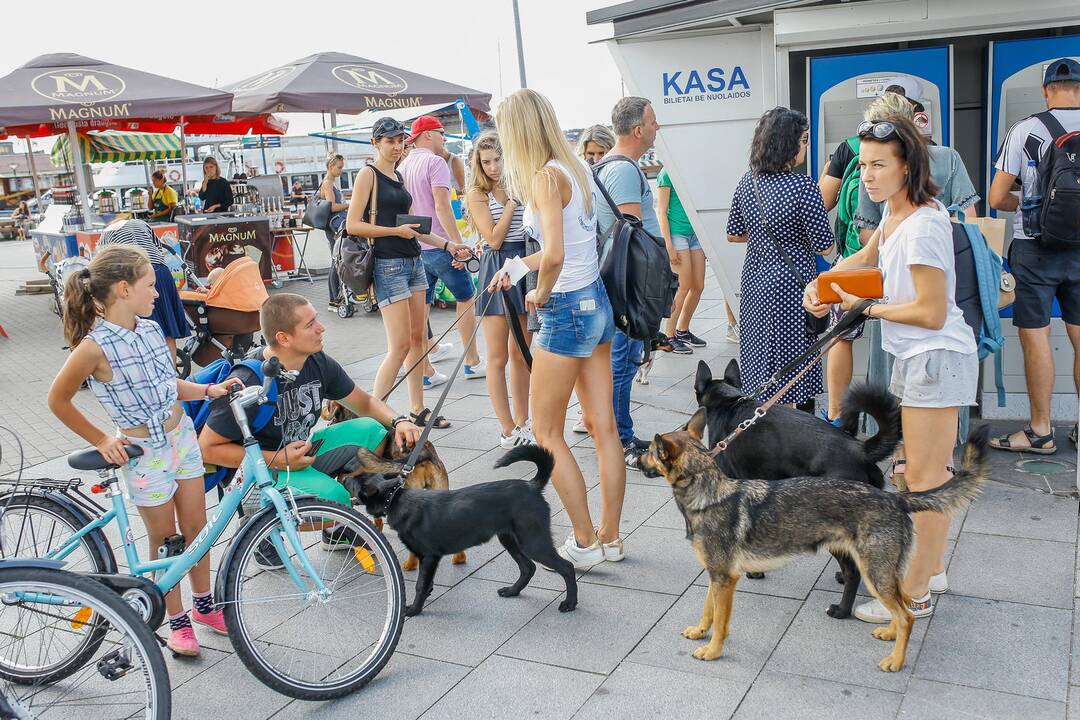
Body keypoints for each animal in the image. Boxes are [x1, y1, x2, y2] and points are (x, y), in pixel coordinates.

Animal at [343, 444, 578, 621]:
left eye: (354, 483)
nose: (343, 477)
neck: (396, 498)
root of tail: (532, 486)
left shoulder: (429, 556)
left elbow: (420, 585)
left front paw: (414, 610)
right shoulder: (427, 560)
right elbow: (426, 584)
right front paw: (424, 599)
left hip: (533, 541)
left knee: (566, 567)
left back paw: (570, 603)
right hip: (510, 539)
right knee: (528, 567)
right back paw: (513, 591)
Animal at [639, 408, 989, 673]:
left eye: (650, 453)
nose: (634, 453)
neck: (707, 492)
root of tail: (895, 499)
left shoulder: (726, 578)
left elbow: (722, 622)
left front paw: (713, 651)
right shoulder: (715, 576)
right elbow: (708, 610)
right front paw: (700, 632)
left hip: (873, 571)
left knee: (906, 615)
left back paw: (895, 661)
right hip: (884, 573)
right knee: (903, 608)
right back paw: (890, 634)